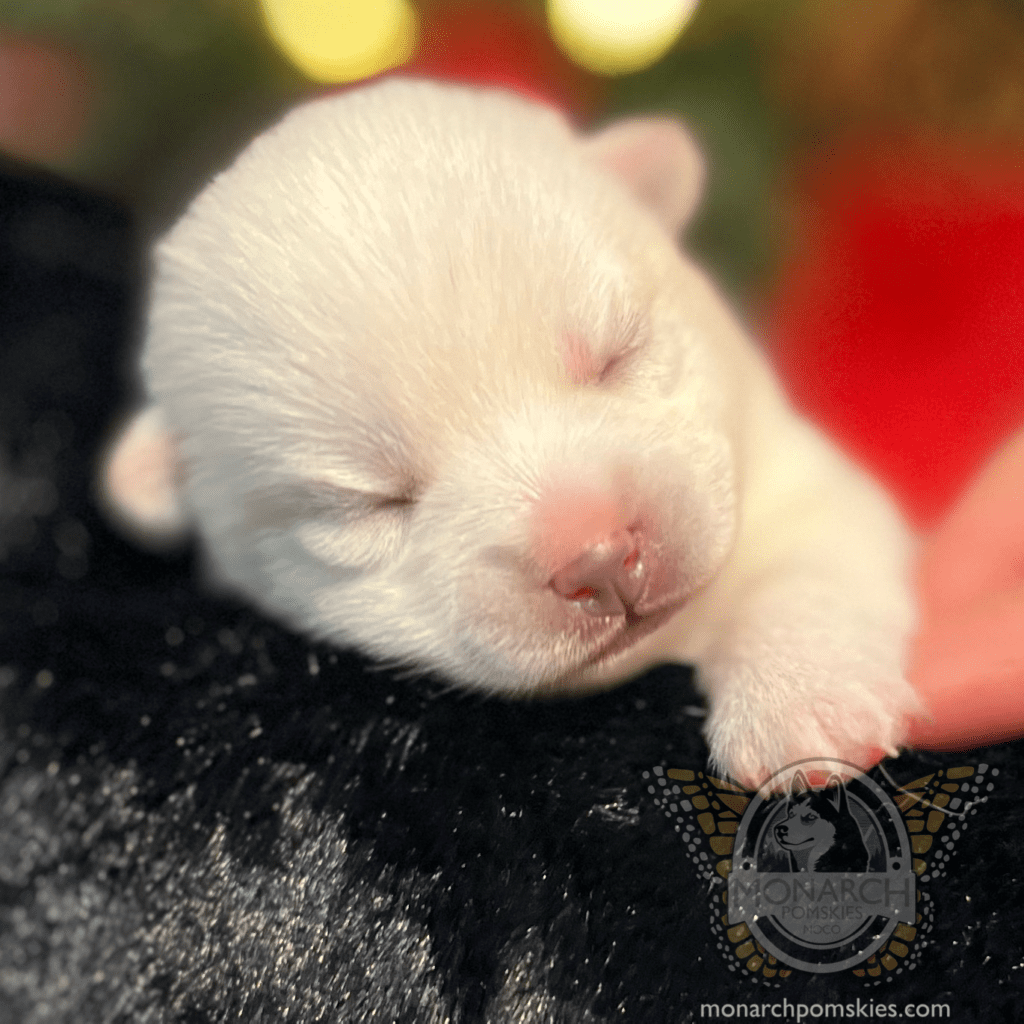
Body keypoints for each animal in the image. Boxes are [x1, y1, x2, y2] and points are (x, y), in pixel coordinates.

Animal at [101, 77, 921, 782]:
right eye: (370, 503)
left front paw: (799, 701)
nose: (599, 557)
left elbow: (803, 563)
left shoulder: (803, 480)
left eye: (618, 352)